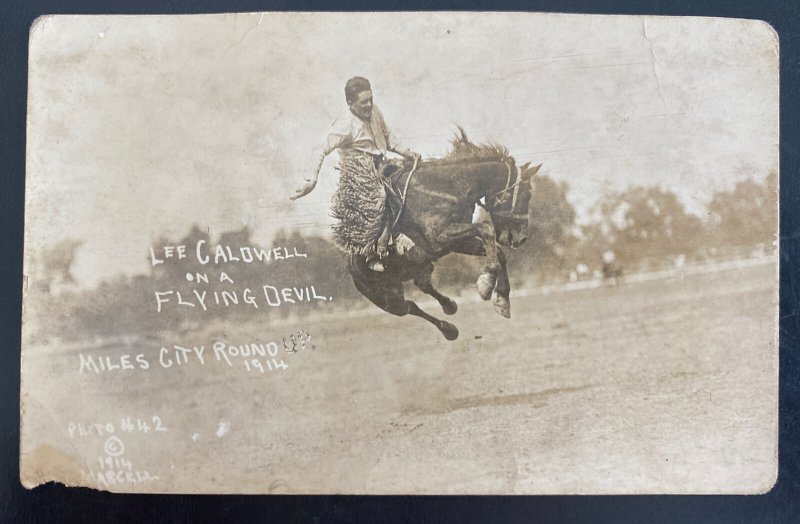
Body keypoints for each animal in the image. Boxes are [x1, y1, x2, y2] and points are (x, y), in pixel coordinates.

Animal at [334, 132, 540, 340]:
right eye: (527, 194)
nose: (521, 238)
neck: (446, 187)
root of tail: (349, 264)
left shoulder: (455, 242)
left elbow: (499, 252)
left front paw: (502, 300)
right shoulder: (439, 238)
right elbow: (485, 229)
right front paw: (486, 283)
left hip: (419, 269)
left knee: (423, 287)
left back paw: (449, 307)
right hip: (386, 298)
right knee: (409, 307)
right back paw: (448, 329)